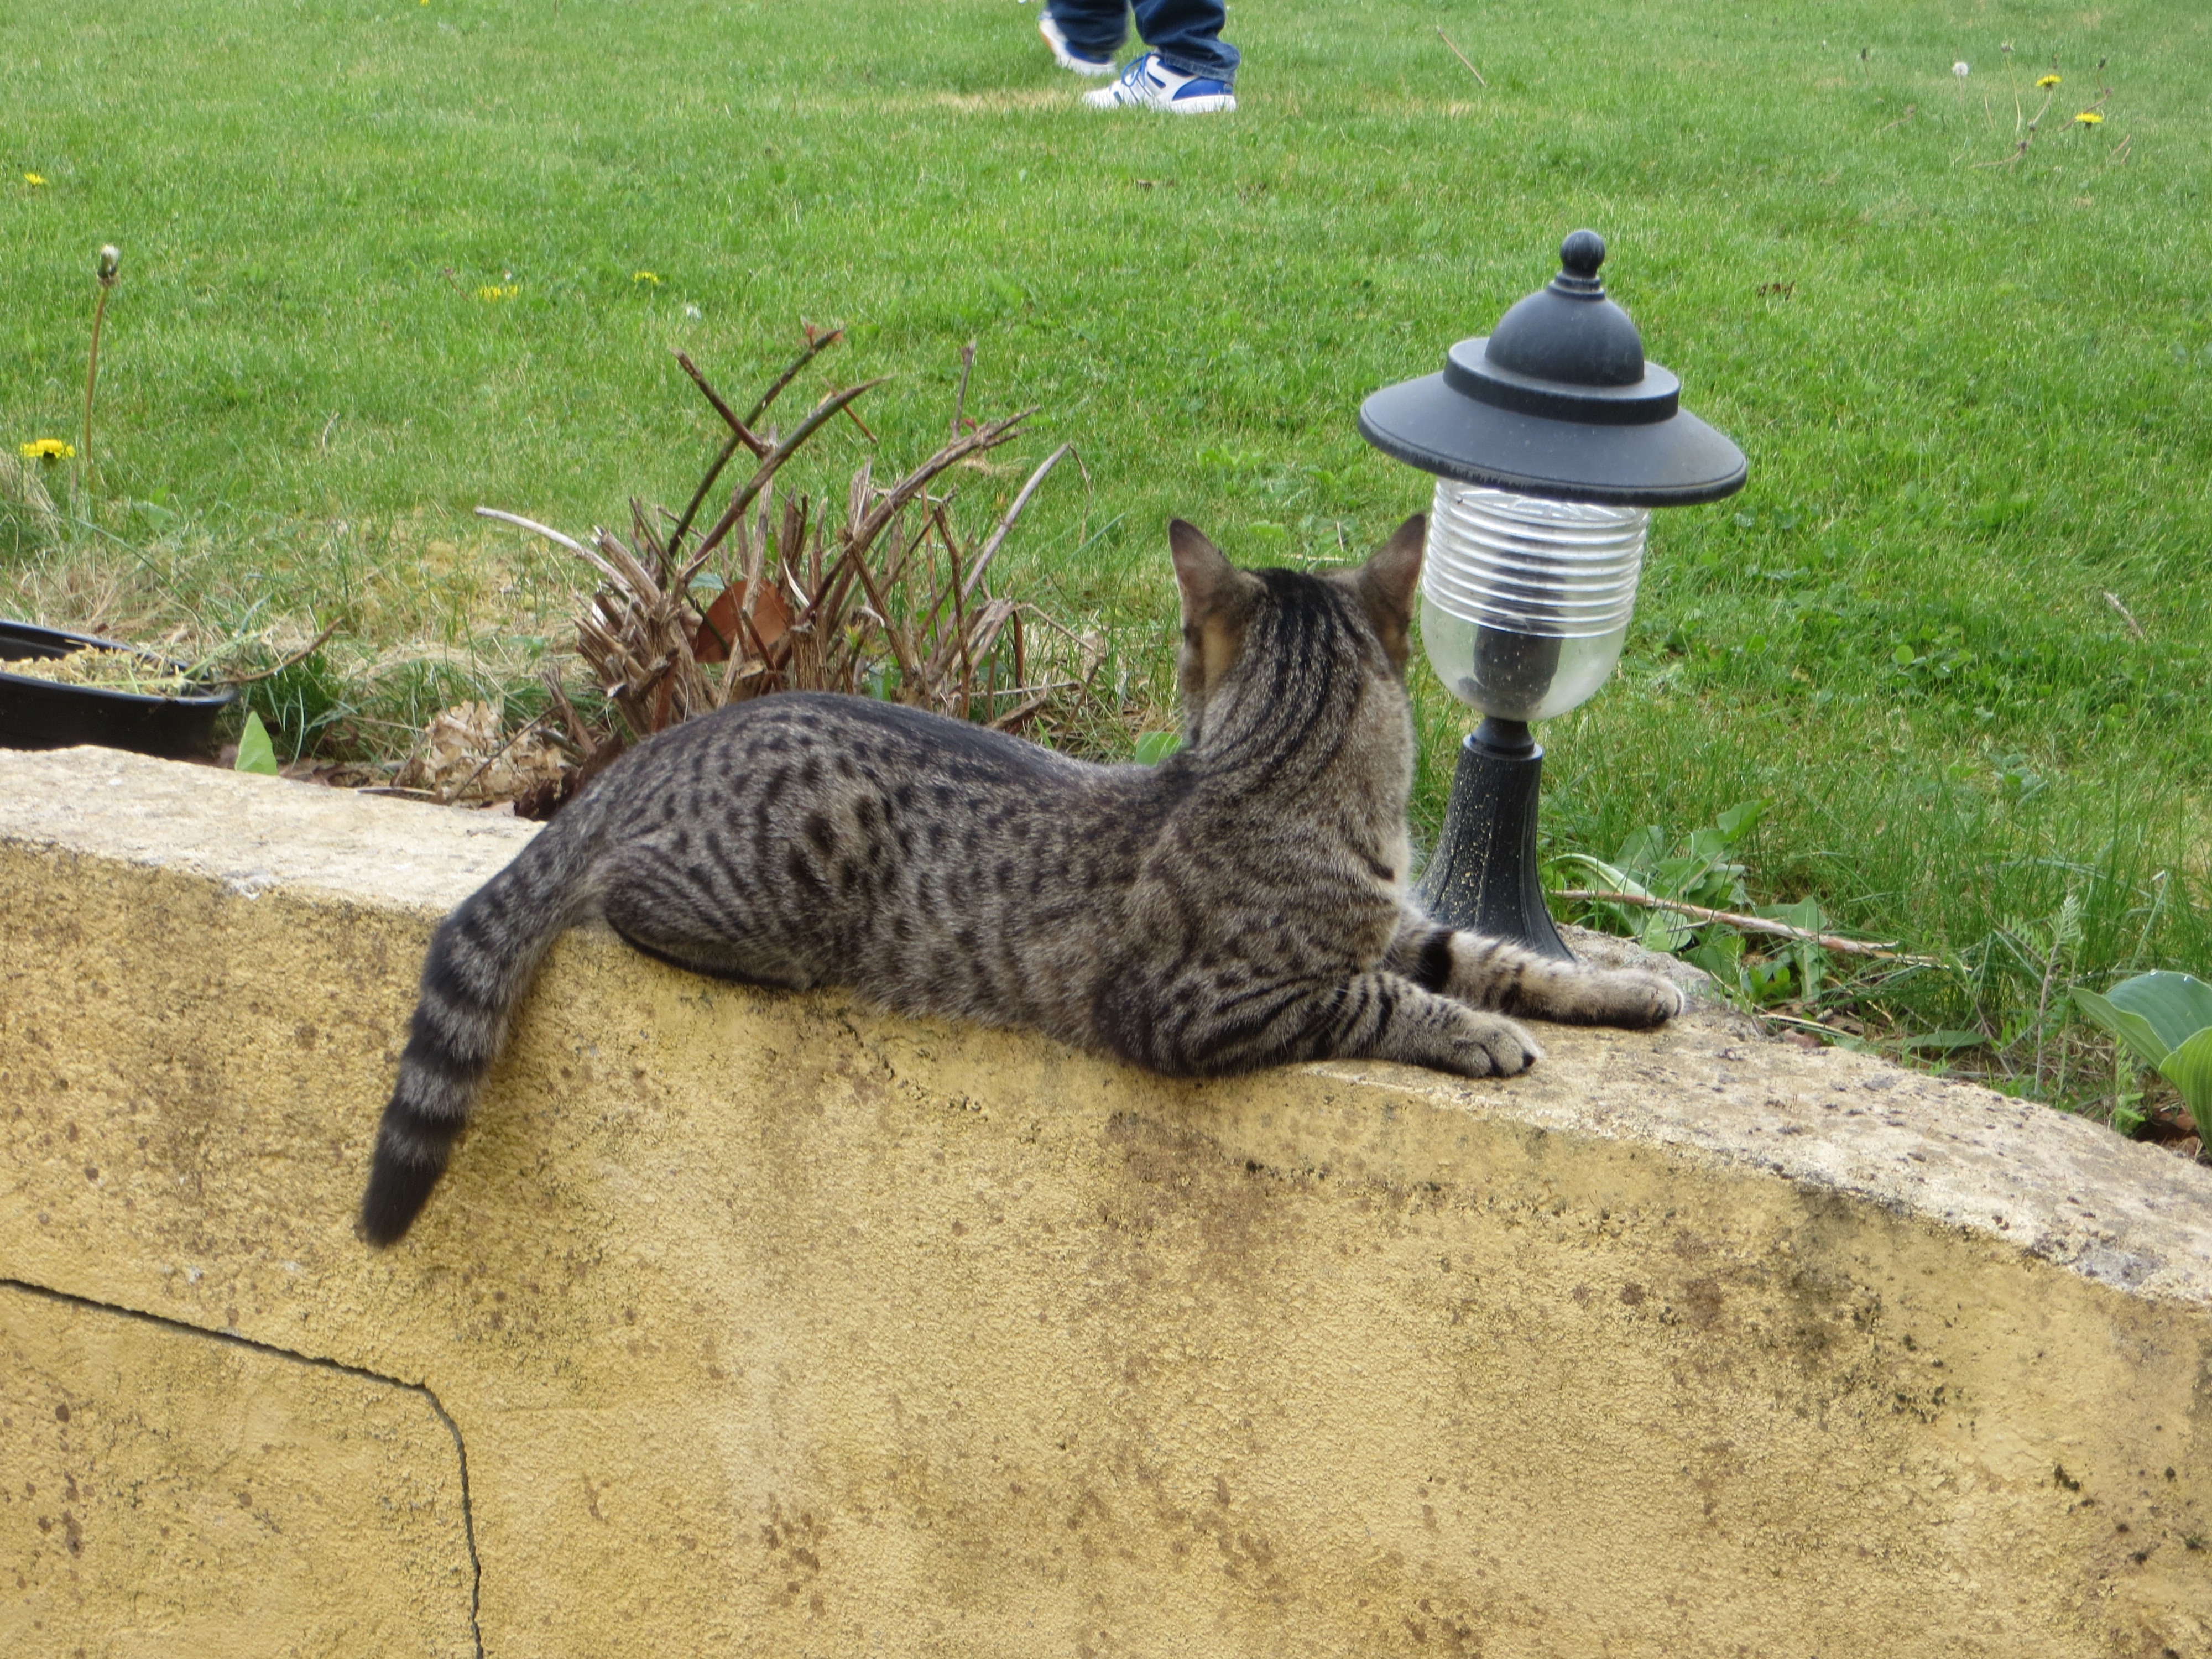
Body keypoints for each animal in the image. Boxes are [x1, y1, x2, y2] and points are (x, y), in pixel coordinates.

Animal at [358, 516, 1682, 1245]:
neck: (1286, 783)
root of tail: (667, 741)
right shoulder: (1198, 1007)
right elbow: (1385, 998)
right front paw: (1478, 1036)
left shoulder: (1396, 923)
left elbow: (1489, 954)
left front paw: (1622, 992)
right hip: (779, 888)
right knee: (626, 892)